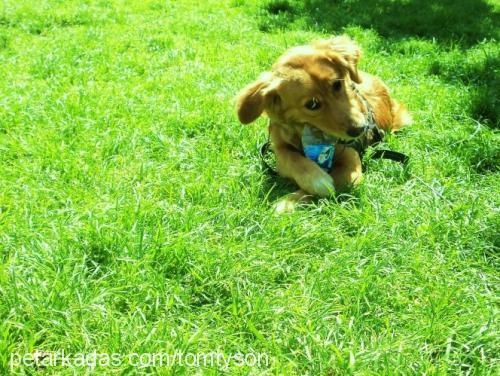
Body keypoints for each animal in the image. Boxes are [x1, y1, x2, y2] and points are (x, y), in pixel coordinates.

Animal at [236, 34, 412, 212]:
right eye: (312, 104)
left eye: (337, 84)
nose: (360, 129)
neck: (309, 131)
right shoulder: (279, 147)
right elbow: (292, 158)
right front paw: (315, 179)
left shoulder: (352, 164)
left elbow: (331, 183)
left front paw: (289, 201)